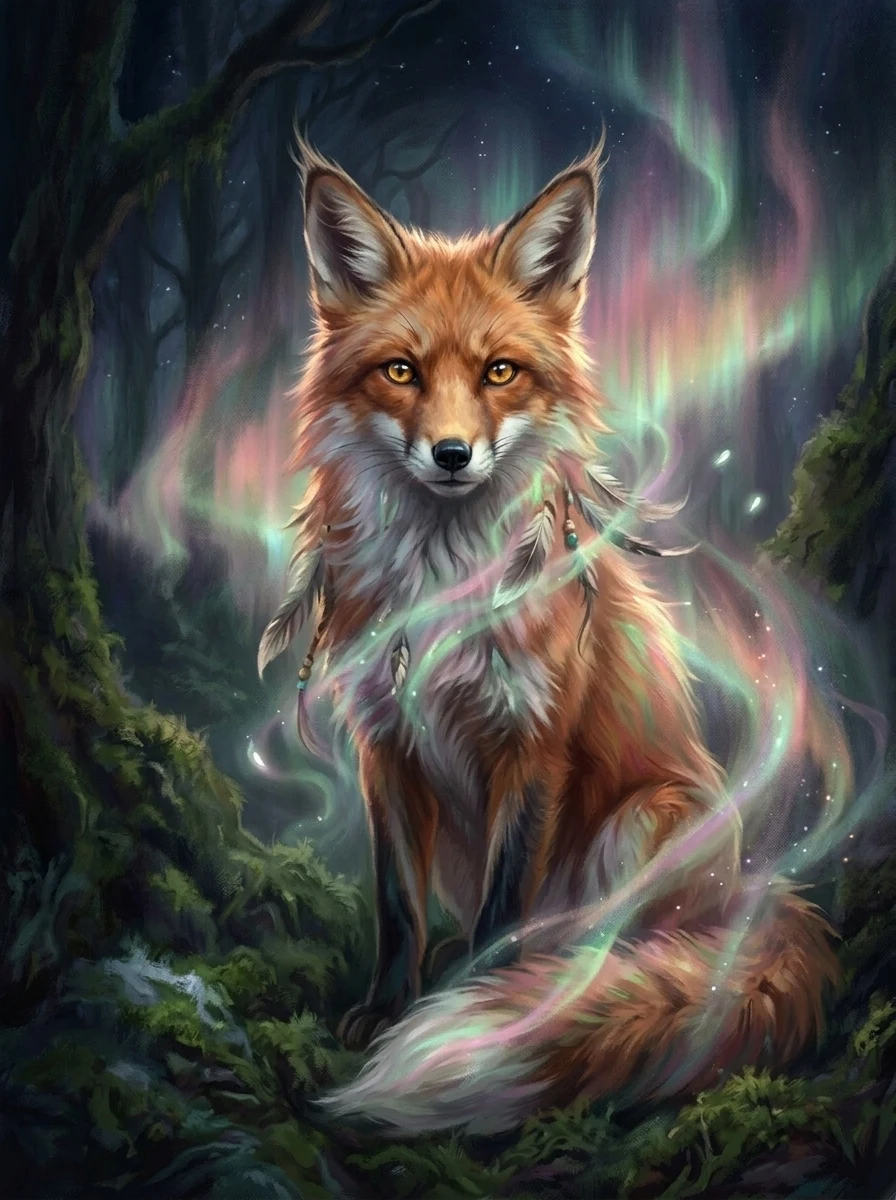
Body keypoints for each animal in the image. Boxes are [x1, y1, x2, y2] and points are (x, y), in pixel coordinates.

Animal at [257, 134, 844, 1137]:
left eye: (500, 372)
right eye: (402, 372)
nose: (452, 455)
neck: (442, 594)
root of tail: (753, 899)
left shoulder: (532, 745)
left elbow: (503, 915)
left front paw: (481, 1020)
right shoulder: (386, 744)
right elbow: (397, 904)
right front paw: (388, 1006)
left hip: (643, 824)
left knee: (611, 953)